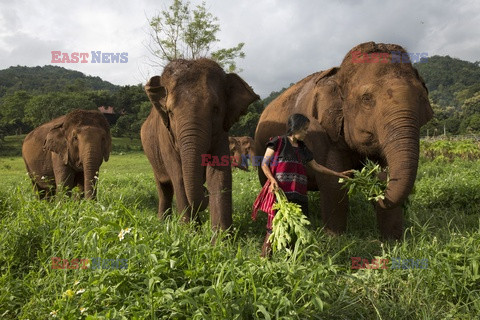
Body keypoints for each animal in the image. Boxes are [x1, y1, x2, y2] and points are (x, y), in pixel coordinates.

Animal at [142, 58, 258, 230]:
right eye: (170, 112)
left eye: (216, 109)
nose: (205, 191)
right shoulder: (165, 136)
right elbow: (179, 176)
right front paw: (189, 232)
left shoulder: (221, 132)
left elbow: (219, 174)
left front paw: (221, 236)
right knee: (164, 187)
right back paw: (163, 222)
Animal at [253, 41, 434, 239]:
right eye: (366, 98)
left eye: (421, 96)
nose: (374, 195)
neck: (338, 75)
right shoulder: (320, 132)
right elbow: (332, 182)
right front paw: (335, 238)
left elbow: (384, 173)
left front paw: (392, 241)